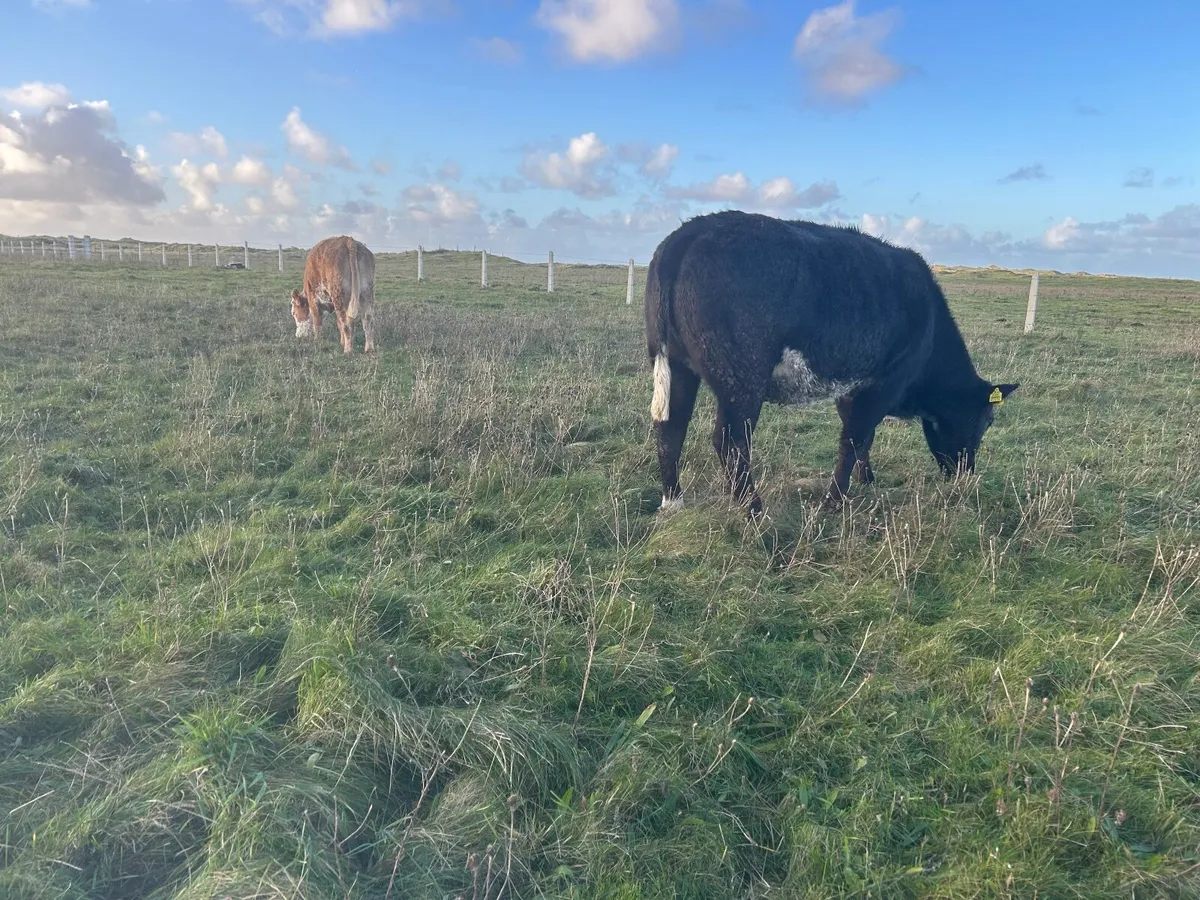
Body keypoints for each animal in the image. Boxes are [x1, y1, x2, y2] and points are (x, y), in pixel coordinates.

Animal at [645, 210, 1018, 518]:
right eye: (988, 421)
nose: (966, 475)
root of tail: (690, 231)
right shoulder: (883, 384)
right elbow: (854, 439)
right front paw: (835, 500)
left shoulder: (851, 388)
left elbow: (862, 439)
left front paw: (866, 479)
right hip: (742, 379)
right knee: (731, 442)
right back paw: (755, 510)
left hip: (677, 365)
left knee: (671, 427)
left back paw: (673, 501)